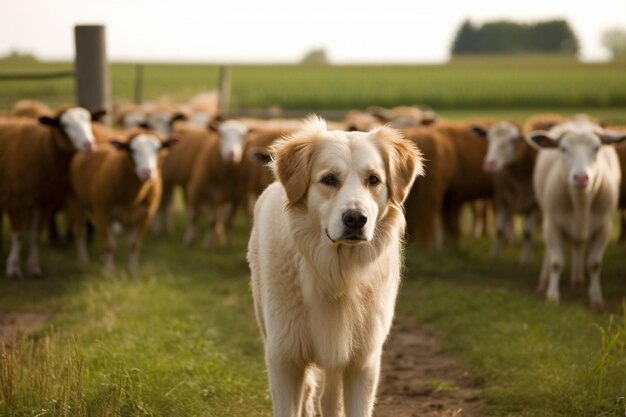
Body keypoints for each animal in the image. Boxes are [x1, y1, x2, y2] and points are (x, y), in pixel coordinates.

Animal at [246, 116, 422, 416]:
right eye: (329, 180)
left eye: (373, 180)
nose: (356, 219)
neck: (336, 271)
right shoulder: (284, 357)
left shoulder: (362, 362)